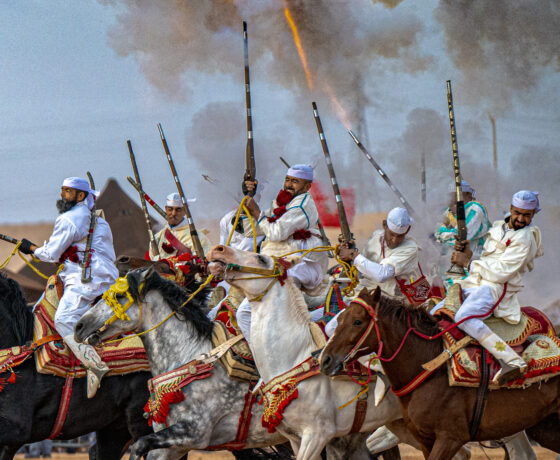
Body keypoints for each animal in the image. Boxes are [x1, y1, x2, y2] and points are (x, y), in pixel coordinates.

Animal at [319, 287, 560, 459]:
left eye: (357, 321)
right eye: (338, 319)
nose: (325, 360)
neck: (430, 367)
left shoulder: (450, 438)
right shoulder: (425, 439)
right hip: (544, 426)